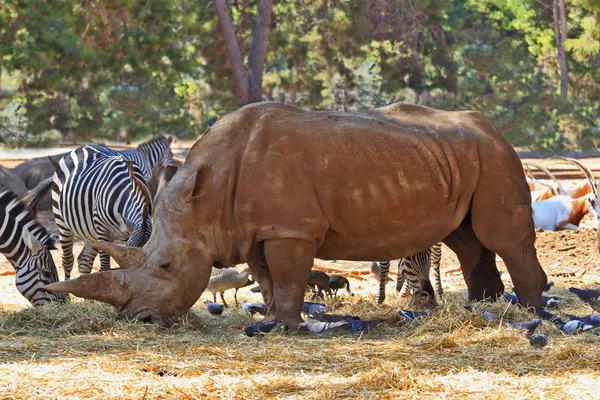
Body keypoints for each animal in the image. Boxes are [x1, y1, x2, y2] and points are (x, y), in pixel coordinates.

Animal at [51, 145, 154, 278]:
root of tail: (81, 147)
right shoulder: (103, 230)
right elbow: (105, 269)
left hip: (91, 233)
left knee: (84, 261)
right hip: (63, 223)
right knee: (67, 260)